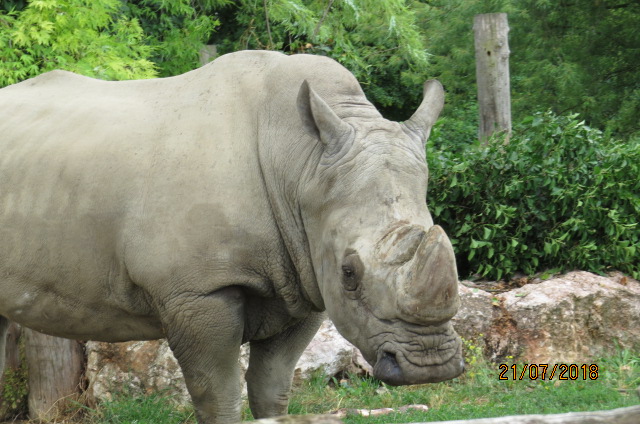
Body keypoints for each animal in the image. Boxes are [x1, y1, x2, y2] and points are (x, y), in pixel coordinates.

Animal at [0, 50, 463, 423]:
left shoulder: (303, 277)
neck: (301, 165)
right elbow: (218, 394)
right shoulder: (198, 290)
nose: (430, 366)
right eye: (350, 273)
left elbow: (272, 387)